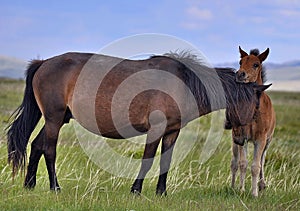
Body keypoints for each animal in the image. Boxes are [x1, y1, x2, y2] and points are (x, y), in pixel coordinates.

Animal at [7, 51, 270, 196]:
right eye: (257, 106)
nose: (241, 139)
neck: (183, 82)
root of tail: (43, 63)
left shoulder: (172, 131)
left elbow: (165, 161)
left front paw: (161, 192)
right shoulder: (156, 130)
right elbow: (148, 159)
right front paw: (136, 190)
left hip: (59, 119)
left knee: (37, 145)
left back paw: (29, 184)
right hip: (54, 118)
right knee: (49, 150)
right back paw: (55, 187)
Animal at [230, 47, 276, 197]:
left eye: (256, 64)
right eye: (240, 62)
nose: (240, 74)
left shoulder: (261, 139)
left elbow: (256, 166)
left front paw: (254, 193)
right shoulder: (241, 137)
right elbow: (243, 163)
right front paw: (241, 189)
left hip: (268, 141)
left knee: (262, 160)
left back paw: (261, 185)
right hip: (234, 139)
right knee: (234, 162)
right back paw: (232, 186)